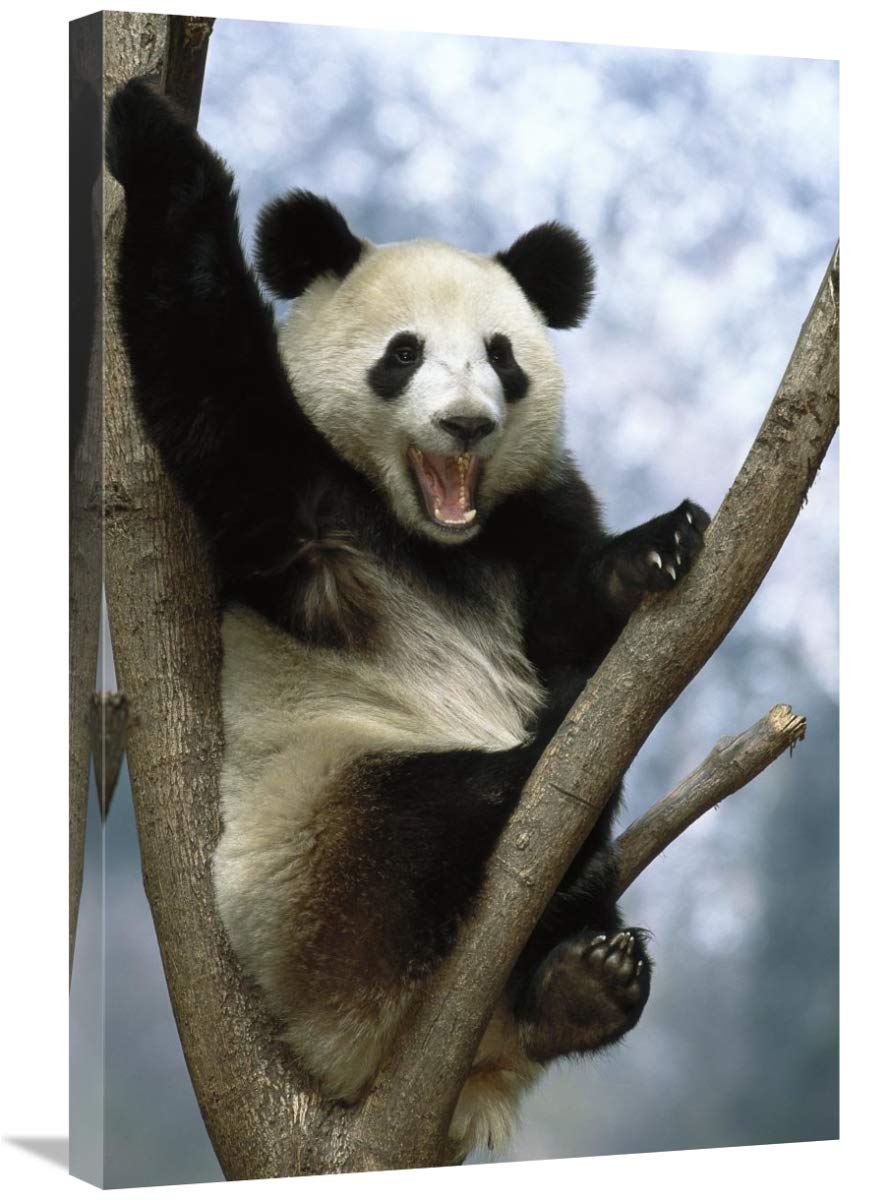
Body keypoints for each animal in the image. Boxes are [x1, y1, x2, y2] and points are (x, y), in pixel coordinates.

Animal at [107, 78, 710, 1157]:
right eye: (403, 354)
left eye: (502, 358)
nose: (465, 425)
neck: (433, 534)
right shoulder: (298, 509)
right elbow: (206, 371)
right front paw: (154, 138)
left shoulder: (531, 516)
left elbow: (564, 613)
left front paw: (655, 551)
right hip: (315, 850)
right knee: (440, 817)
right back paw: (556, 756)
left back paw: (576, 985)